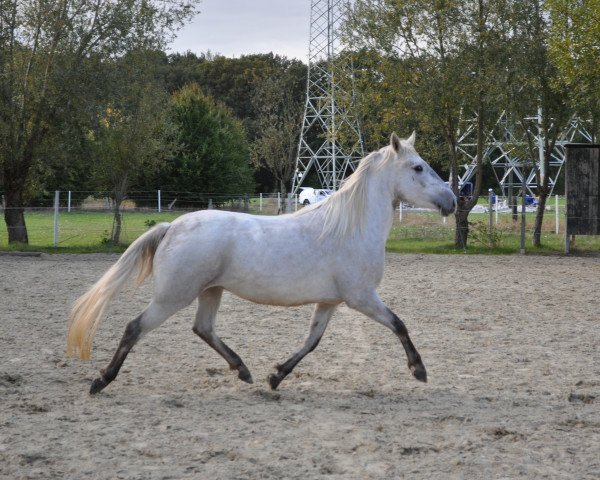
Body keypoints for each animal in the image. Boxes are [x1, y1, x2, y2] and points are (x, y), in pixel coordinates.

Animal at [67, 132, 454, 394]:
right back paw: (101, 380)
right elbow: (399, 325)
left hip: (211, 291)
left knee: (203, 329)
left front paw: (276, 376)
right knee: (135, 328)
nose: (452, 201)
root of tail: (172, 226)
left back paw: (243, 370)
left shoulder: (330, 301)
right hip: (173, 296)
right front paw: (418, 370)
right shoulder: (362, 298)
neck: (350, 228)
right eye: (418, 167)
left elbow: (312, 341)